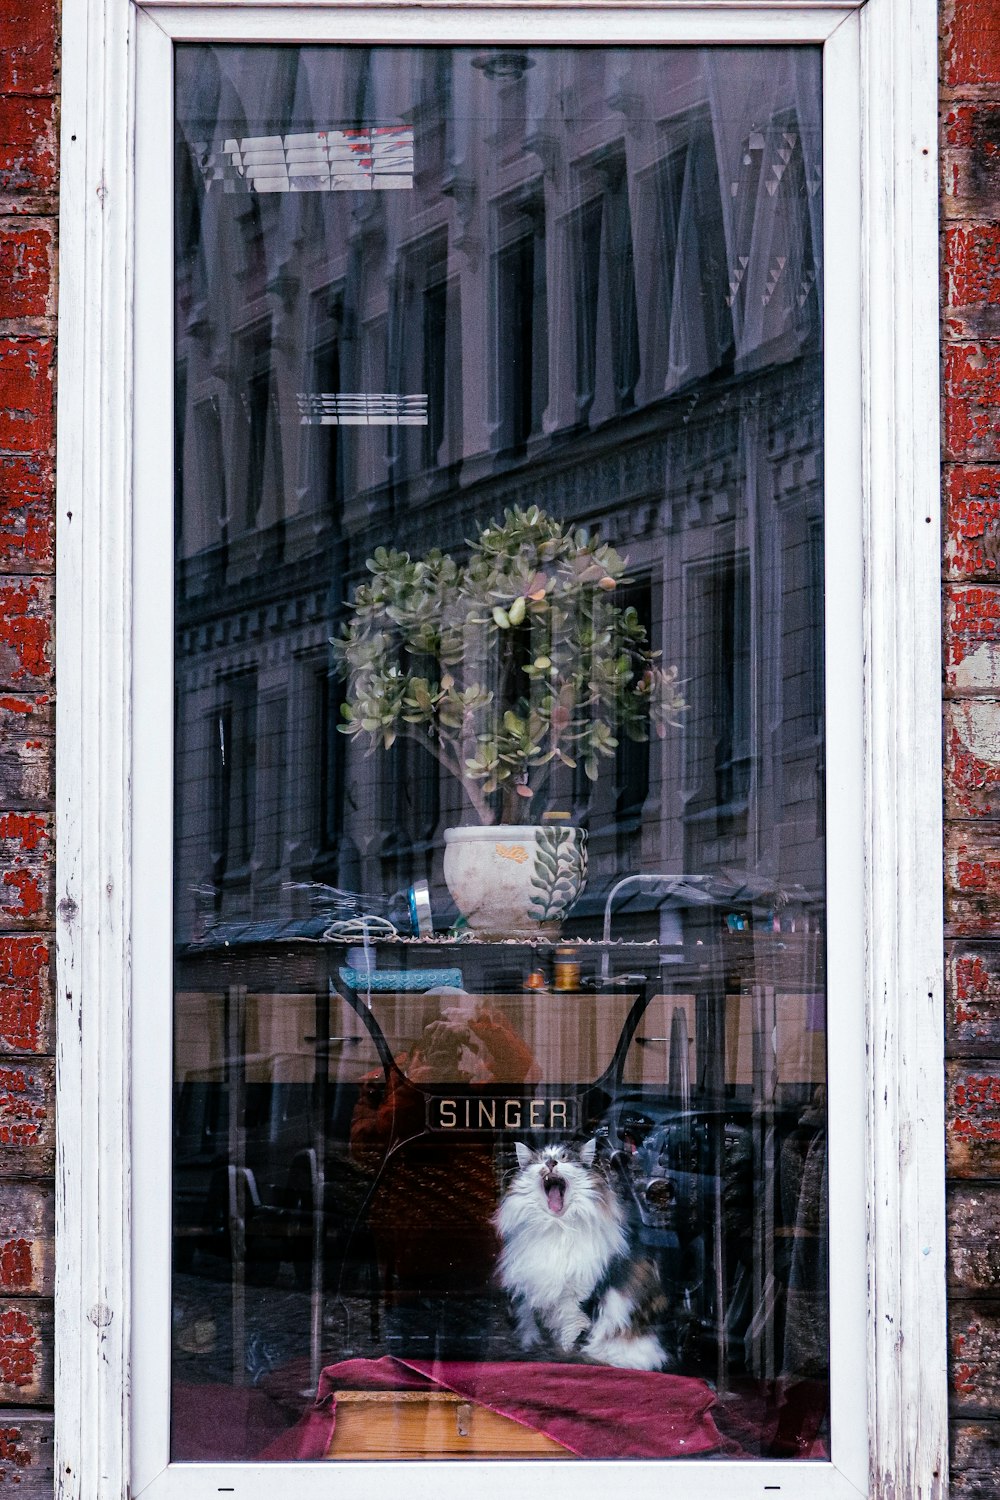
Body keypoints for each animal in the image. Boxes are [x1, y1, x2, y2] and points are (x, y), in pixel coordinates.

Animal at [494, 1134, 671, 1374]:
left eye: (563, 1157)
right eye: (541, 1159)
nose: (550, 1162)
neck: (557, 1227)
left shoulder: (581, 1296)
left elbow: (573, 1334)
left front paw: (569, 1360)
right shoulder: (542, 1296)